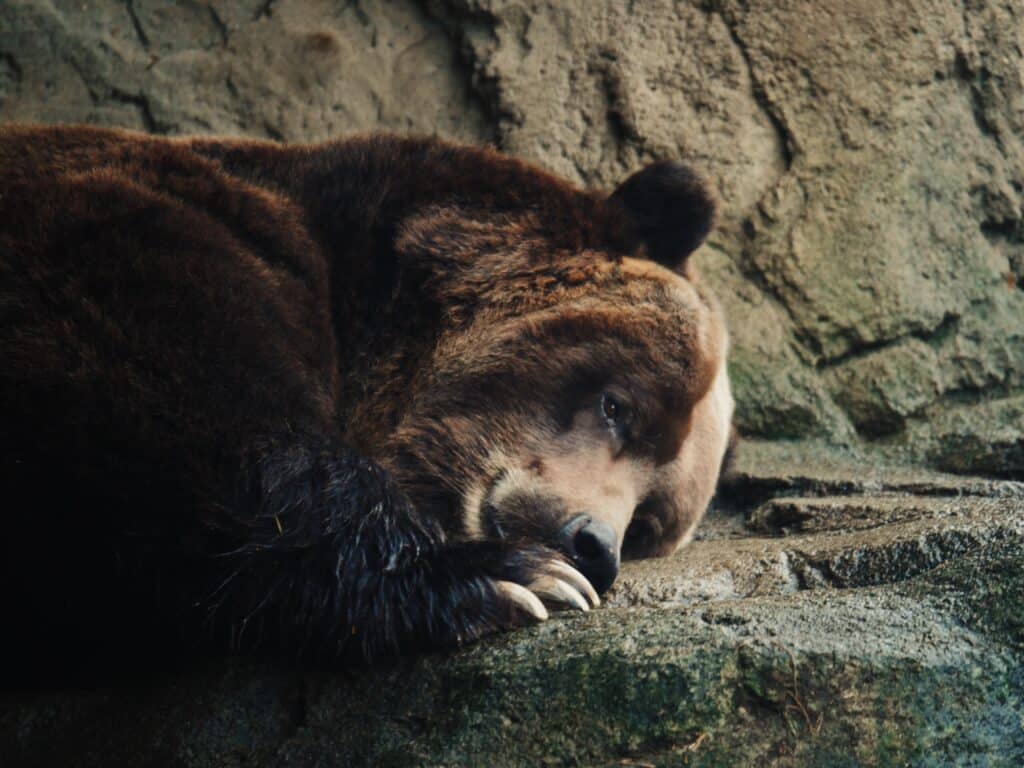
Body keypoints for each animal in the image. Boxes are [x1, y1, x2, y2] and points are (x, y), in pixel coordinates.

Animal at [0, 126, 737, 671]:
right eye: (621, 407)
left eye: (647, 523)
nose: (592, 547)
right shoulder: (130, 229)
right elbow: (208, 416)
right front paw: (514, 577)